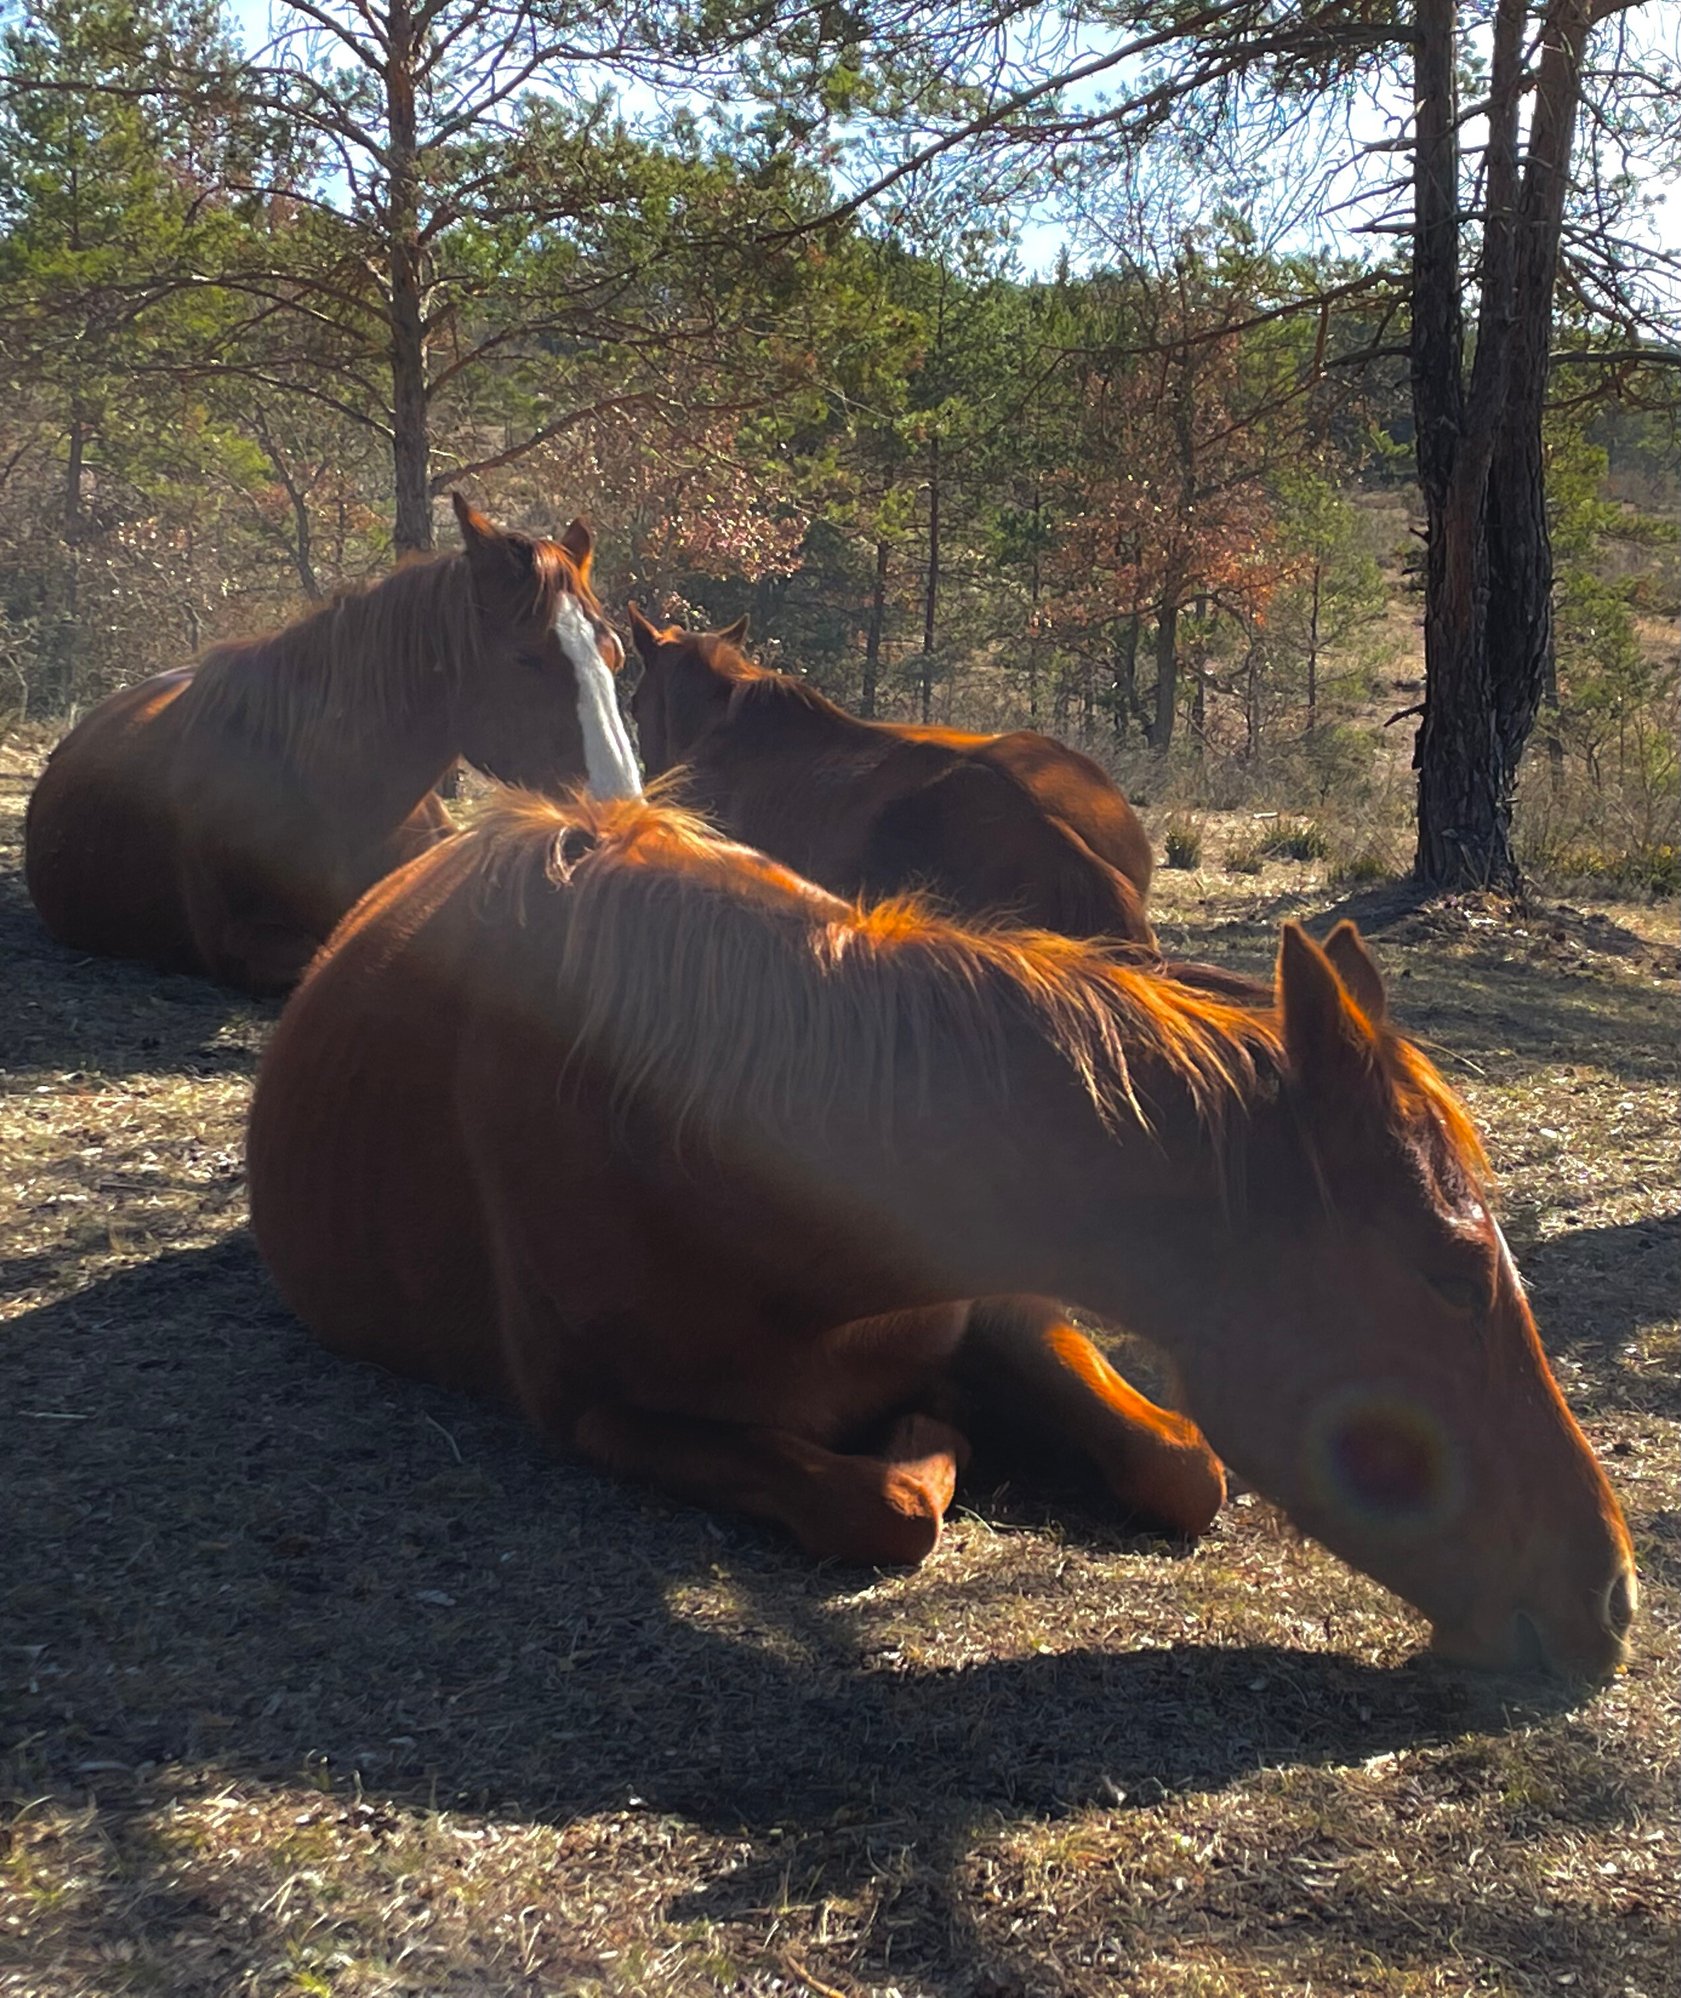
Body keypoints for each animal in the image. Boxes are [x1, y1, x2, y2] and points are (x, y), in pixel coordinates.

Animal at [248, 789, 1636, 1680]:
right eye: (1451, 1273)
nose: (1615, 1598)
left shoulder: (1000, 1304)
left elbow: (1182, 1464)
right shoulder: (594, 1416)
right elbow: (878, 1505)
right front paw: (932, 1441)